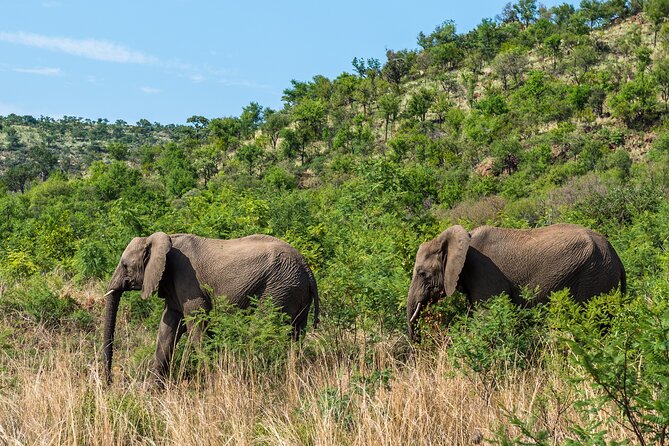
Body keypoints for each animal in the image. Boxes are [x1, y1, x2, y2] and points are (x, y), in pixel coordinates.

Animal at [102, 232, 318, 382]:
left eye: (125, 266)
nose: (109, 382)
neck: (163, 239)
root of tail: (307, 269)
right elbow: (168, 328)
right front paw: (152, 391)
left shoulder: (187, 279)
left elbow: (197, 323)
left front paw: (211, 379)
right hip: (294, 290)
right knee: (296, 334)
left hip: (279, 289)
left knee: (265, 329)